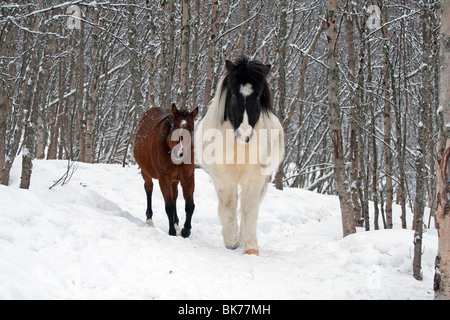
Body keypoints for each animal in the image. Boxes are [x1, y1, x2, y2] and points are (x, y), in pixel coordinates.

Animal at [133, 104, 198, 236]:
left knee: (175, 196)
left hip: (175, 180)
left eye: (191, 129)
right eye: (173, 126)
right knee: (149, 189)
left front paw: (185, 230)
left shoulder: (188, 177)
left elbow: (189, 205)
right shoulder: (164, 179)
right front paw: (172, 231)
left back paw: (176, 222)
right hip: (146, 173)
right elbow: (169, 206)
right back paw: (149, 219)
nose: (180, 153)